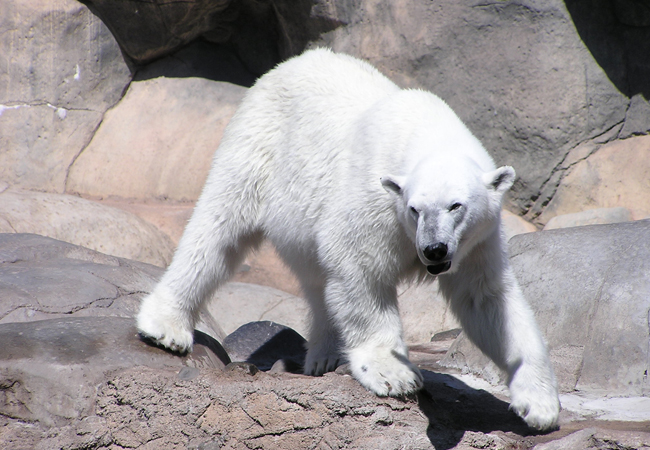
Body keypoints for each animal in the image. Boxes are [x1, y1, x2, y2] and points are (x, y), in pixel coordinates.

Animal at [139, 48, 560, 428]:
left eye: (457, 205)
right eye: (414, 209)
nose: (433, 250)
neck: (426, 131)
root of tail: (290, 63)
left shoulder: (476, 241)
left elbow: (487, 300)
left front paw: (540, 404)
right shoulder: (374, 202)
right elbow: (360, 270)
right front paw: (394, 374)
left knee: (315, 278)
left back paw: (323, 355)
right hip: (259, 145)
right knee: (220, 229)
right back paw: (165, 326)